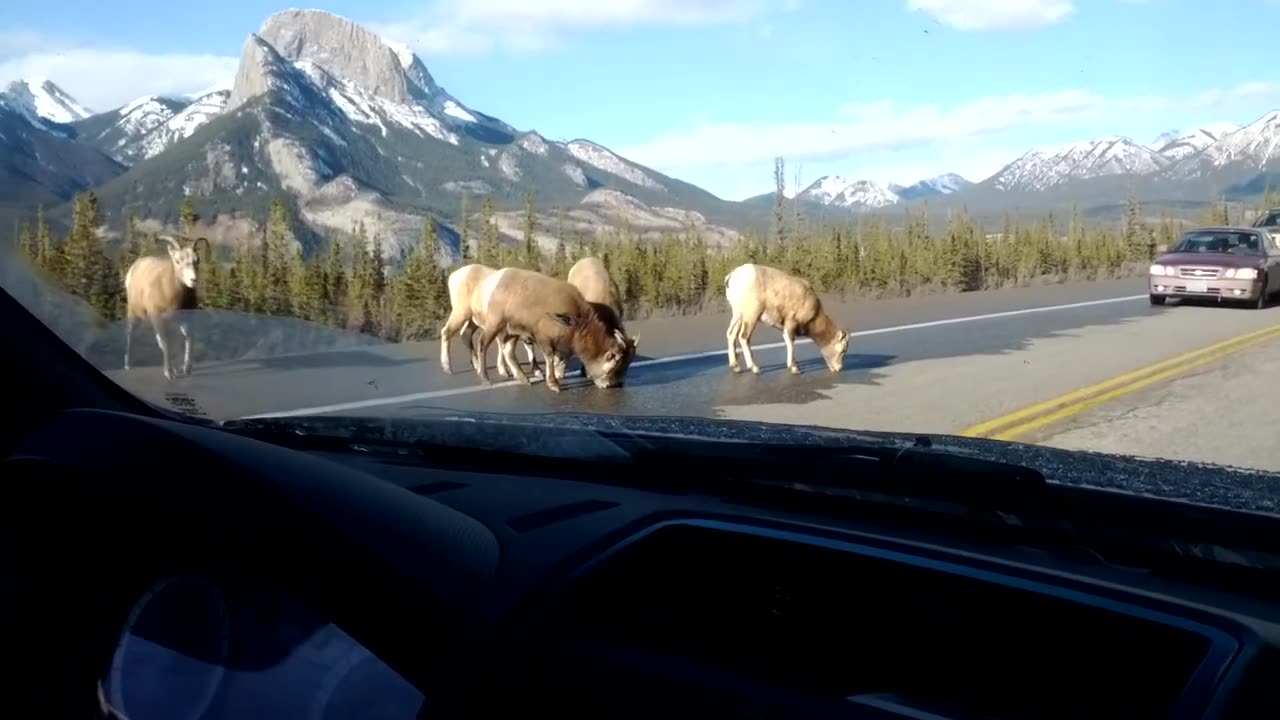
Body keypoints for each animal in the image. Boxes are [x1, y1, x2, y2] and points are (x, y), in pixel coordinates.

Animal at [471, 267, 634, 392]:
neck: (576, 321)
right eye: (612, 367)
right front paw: (554, 385)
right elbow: (549, 358)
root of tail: (492, 281)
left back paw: (524, 379)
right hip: (495, 325)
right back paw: (485, 379)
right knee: (483, 344)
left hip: (512, 332)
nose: (611, 385)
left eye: (626, 366)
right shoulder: (544, 339)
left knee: (508, 351)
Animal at [721, 263, 849, 376]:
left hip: (738, 315)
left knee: (731, 334)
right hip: (751, 316)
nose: (839, 368)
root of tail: (732, 276)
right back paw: (755, 368)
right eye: (843, 350)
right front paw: (795, 369)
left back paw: (736, 367)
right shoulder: (791, 324)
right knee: (743, 337)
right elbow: (790, 343)